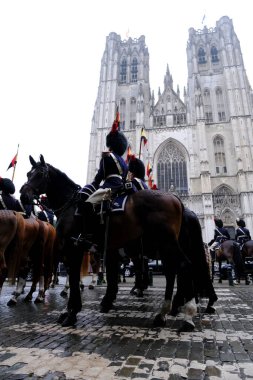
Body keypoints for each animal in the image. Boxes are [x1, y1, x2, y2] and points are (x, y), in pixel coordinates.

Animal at [19, 153, 197, 332]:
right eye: (28, 174)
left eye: (41, 174)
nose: (22, 195)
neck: (70, 205)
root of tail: (175, 197)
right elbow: (82, 276)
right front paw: (71, 310)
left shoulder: (74, 247)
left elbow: (74, 278)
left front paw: (72, 313)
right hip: (164, 245)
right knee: (172, 271)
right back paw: (163, 313)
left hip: (166, 243)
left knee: (184, 266)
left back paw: (187, 315)